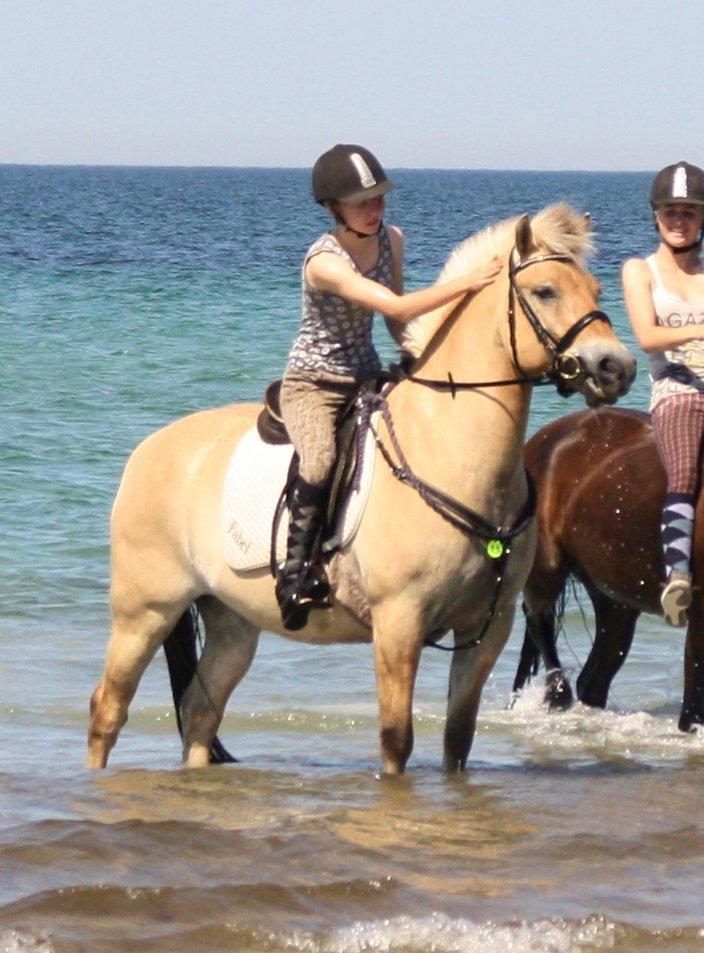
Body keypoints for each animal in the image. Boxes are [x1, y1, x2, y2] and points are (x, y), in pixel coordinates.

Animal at [87, 204, 636, 775]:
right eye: (545, 290)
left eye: (596, 287)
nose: (615, 366)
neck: (446, 446)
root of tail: (147, 450)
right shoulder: (398, 623)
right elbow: (396, 738)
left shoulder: (487, 629)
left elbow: (458, 738)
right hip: (145, 611)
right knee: (109, 710)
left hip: (232, 619)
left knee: (200, 709)